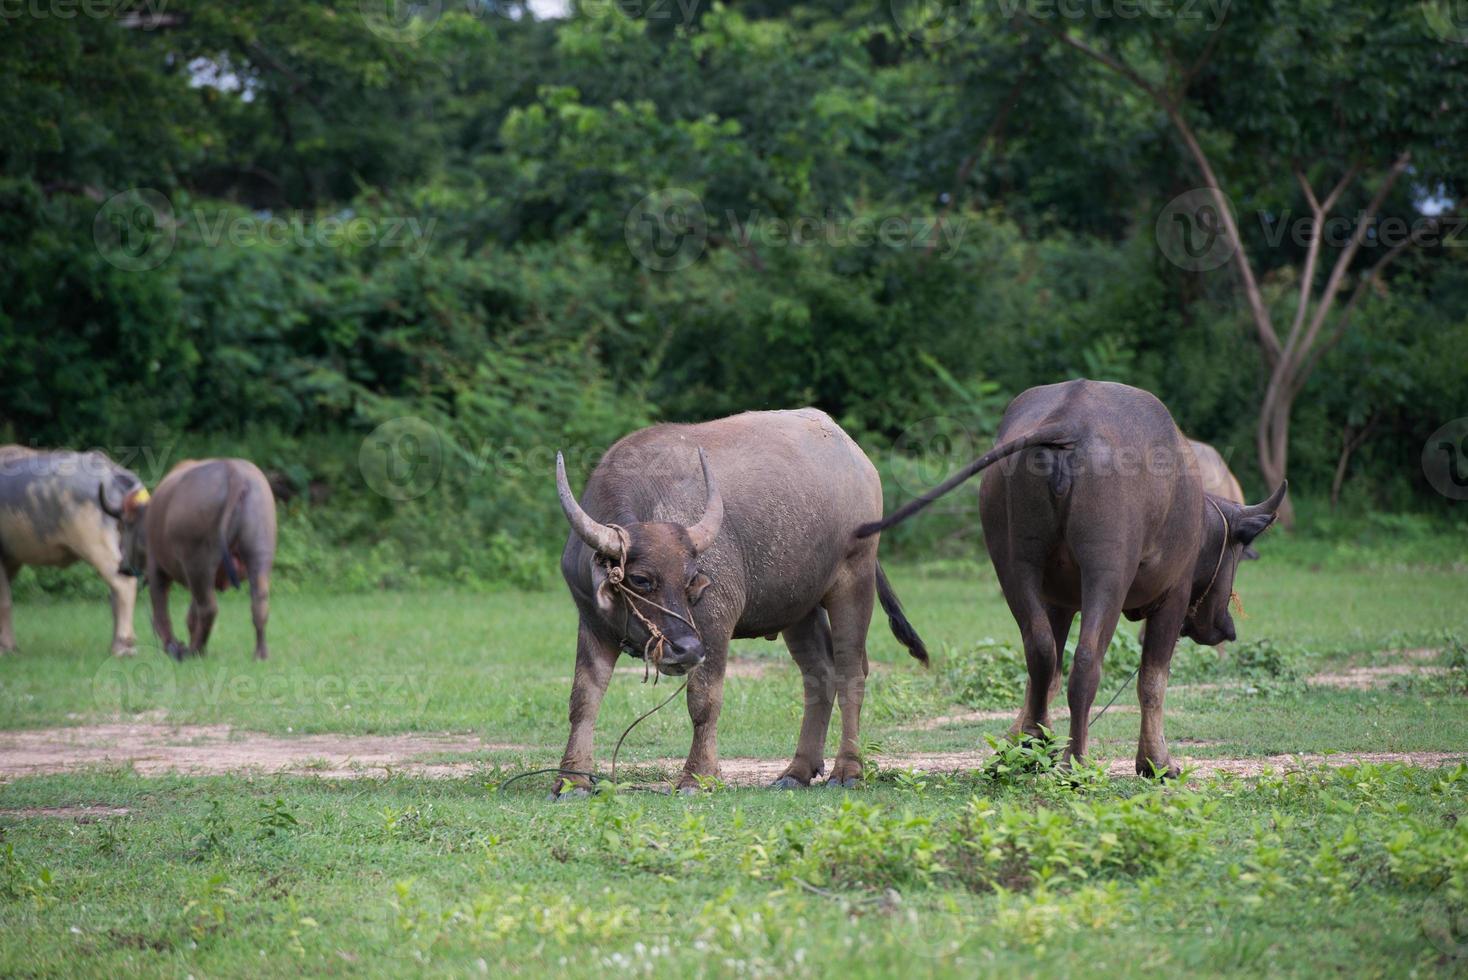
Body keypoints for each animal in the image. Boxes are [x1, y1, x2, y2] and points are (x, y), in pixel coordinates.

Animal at [0, 448, 149, 654]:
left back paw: (123, 645)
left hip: (97, 544)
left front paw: (5, 648)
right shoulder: (11, 558)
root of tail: (112, 473)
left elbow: (3, 601)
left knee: (122, 583)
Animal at [117, 457, 277, 657]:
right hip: (257, 554)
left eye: (124, 526)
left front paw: (172, 646)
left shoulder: (156, 569)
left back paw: (194, 651)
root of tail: (233, 471)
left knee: (208, 609)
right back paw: (260, 654)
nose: (121, 565)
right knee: (259, 603)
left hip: (198, 562)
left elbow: (161, 613)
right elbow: (191, 616)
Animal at [554, 404, 921, 798]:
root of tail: (857, 458)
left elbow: (704, 699)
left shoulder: (714, 623)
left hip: (855, 577)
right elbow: (584, 699)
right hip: (798, 606)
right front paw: (571, 779)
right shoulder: (593, 626)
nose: (685, 649)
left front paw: (698, 776)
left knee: (851, 670)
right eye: (640, 580)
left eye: (690, 580)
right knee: (819, 671)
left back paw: (847, 770)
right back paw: (797, 770)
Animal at [857, 378, 1285, 774]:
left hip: (1014, 565)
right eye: (1235, 557)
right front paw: (1156, 762)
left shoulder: (1058, 602)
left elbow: (1044, 674)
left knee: (1039, 651)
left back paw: (1036, 742)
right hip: (1107, 574)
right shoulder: (1173, 597)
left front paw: (1019, 740)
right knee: (1086, 661)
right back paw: (1075, 760)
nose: (1226, 627)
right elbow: (1152, 679)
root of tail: (1069, 421)